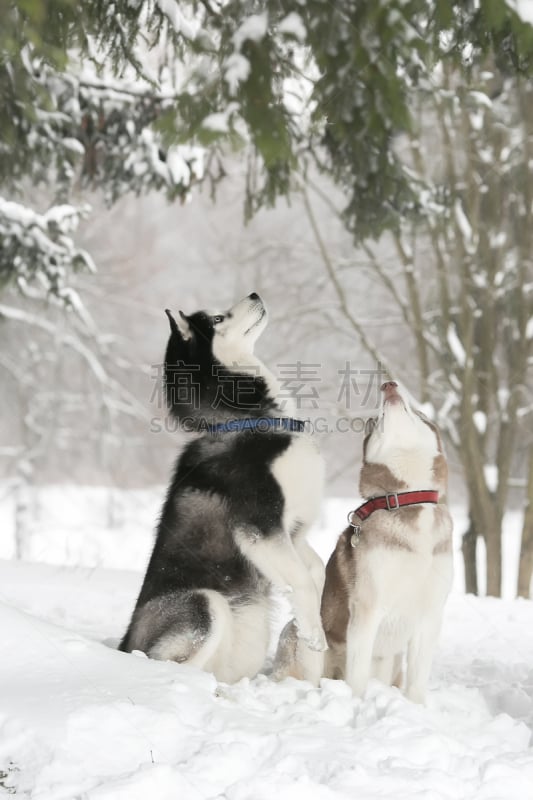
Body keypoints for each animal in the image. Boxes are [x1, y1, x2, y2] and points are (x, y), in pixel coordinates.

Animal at [119, 294, 326, 680]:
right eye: (217, 318)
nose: (255, 294)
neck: (245, 419)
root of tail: (125, 644)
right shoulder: (259, 528)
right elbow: (303, 581)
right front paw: (314, 633)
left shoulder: (293, 533)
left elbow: (315, 570)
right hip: (205, 604)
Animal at [320, 382, 454, 700]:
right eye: (377, 420)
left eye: (419, 414)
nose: (388, 385)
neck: (408, 498)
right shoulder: (367, 608)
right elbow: (357, 675)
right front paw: (356, 703)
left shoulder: (430, 614)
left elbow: (417, 680)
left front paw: (415, 707)